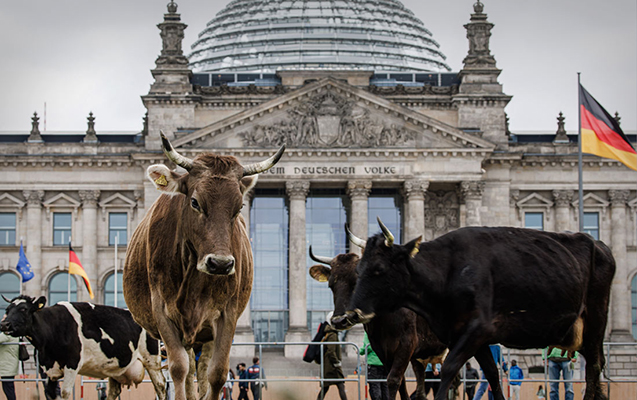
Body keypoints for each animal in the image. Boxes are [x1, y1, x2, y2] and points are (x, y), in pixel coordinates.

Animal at [0, 295, 165, 400]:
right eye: (7, 310)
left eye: (23, 309)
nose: (4, 324)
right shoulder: (46, 369)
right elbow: (51, 394)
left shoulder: (72, 364)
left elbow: (65, 393)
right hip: (117, 367)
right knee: (114, 391)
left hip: (152, 361)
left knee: (161, 386)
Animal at [123, 132, 284, 400]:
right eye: (195, 202)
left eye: (239, 207)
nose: (220, 264)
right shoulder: (163, 314)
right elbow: (178, 369)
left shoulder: (227, 314)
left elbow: (217, 373)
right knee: (169, 378)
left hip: (203, 335)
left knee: (200, 372)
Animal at [308, 233, 447, 400]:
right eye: (331, 284)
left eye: (357, 280)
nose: (339, 320)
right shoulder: (382, 349)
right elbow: (400, 384)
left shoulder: (407, 344)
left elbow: (393, 380)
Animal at [335, 218, 615, 400]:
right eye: (360, 270)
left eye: (378, 270)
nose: (348, 317)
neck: (447, 271)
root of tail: (599, 243)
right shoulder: (470, 338)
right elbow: (491, 375)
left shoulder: (476, 330)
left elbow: (449, 371)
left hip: (596, 320)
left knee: (594, 367)